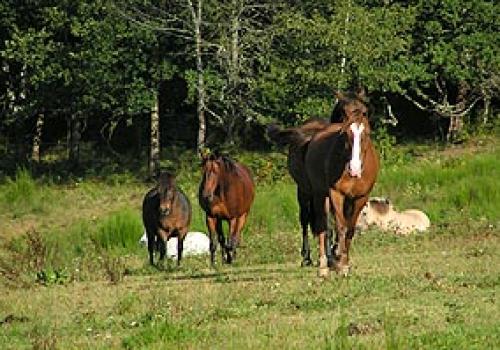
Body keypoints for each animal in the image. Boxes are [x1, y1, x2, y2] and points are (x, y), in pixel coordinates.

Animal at [268, 89, 376, 276]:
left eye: (364, 111)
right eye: (343, 112)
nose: (354, 169)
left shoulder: (359, 197)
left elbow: (349, 229)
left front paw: (342, 259)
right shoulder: (334, 194)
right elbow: (336, 226)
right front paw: (337, 262)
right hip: (306, 192)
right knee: (310, 221)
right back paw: (312, 259)